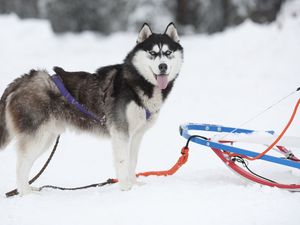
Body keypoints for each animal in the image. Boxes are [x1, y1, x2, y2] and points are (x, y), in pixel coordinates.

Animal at [0, 22, 183, 195]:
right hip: (37, 137)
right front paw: (125, 187)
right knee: (22, 164)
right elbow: (123, 162)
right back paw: (26, 193)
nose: (163, 66)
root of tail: (22, 80)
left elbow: (132, 161)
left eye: (168, 53)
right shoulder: (121, 132)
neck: (137, 83)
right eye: (152, 53)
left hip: (47, 137)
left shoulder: (137, 135)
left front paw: (134, 184)